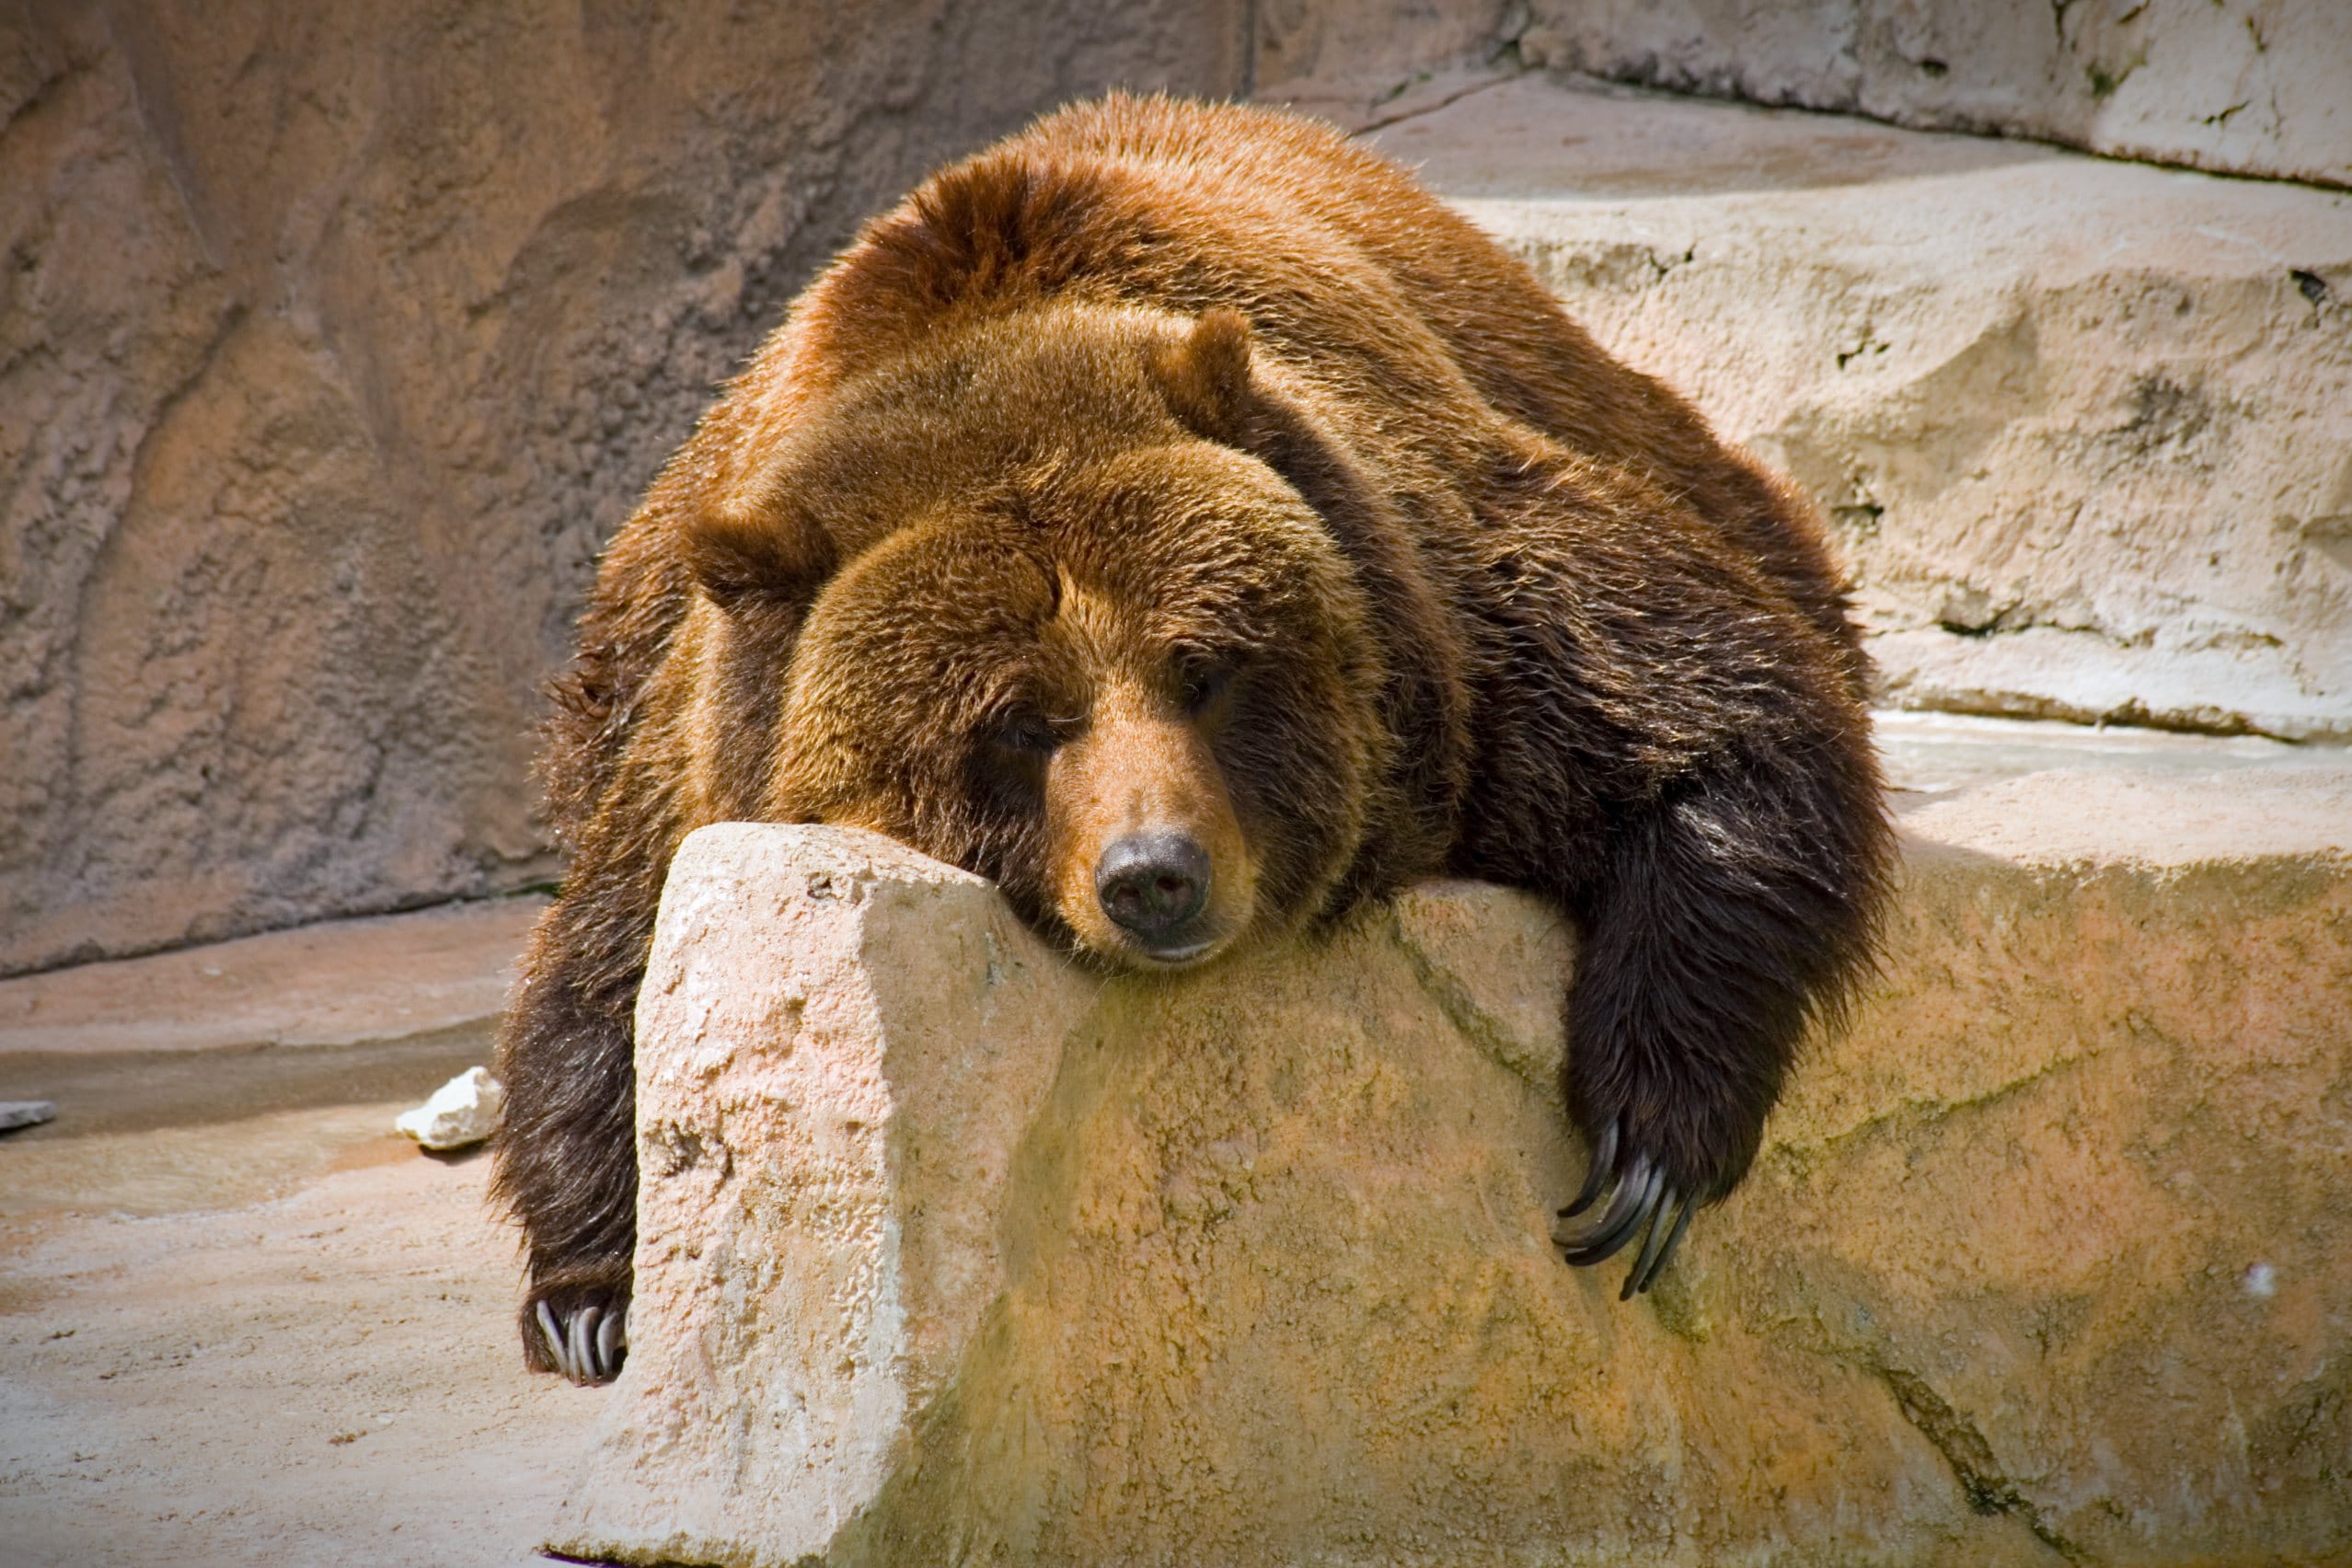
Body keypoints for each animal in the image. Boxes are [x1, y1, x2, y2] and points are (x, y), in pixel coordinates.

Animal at [492, 93, 1892, 1384]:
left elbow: (1715, 716)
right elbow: (614, 959)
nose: (1156, 874)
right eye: (1020, 722)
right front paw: (593, 1293)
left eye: (1202, 670)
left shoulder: (1457, 611)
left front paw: (1643, 1149)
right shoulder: (708, 730)